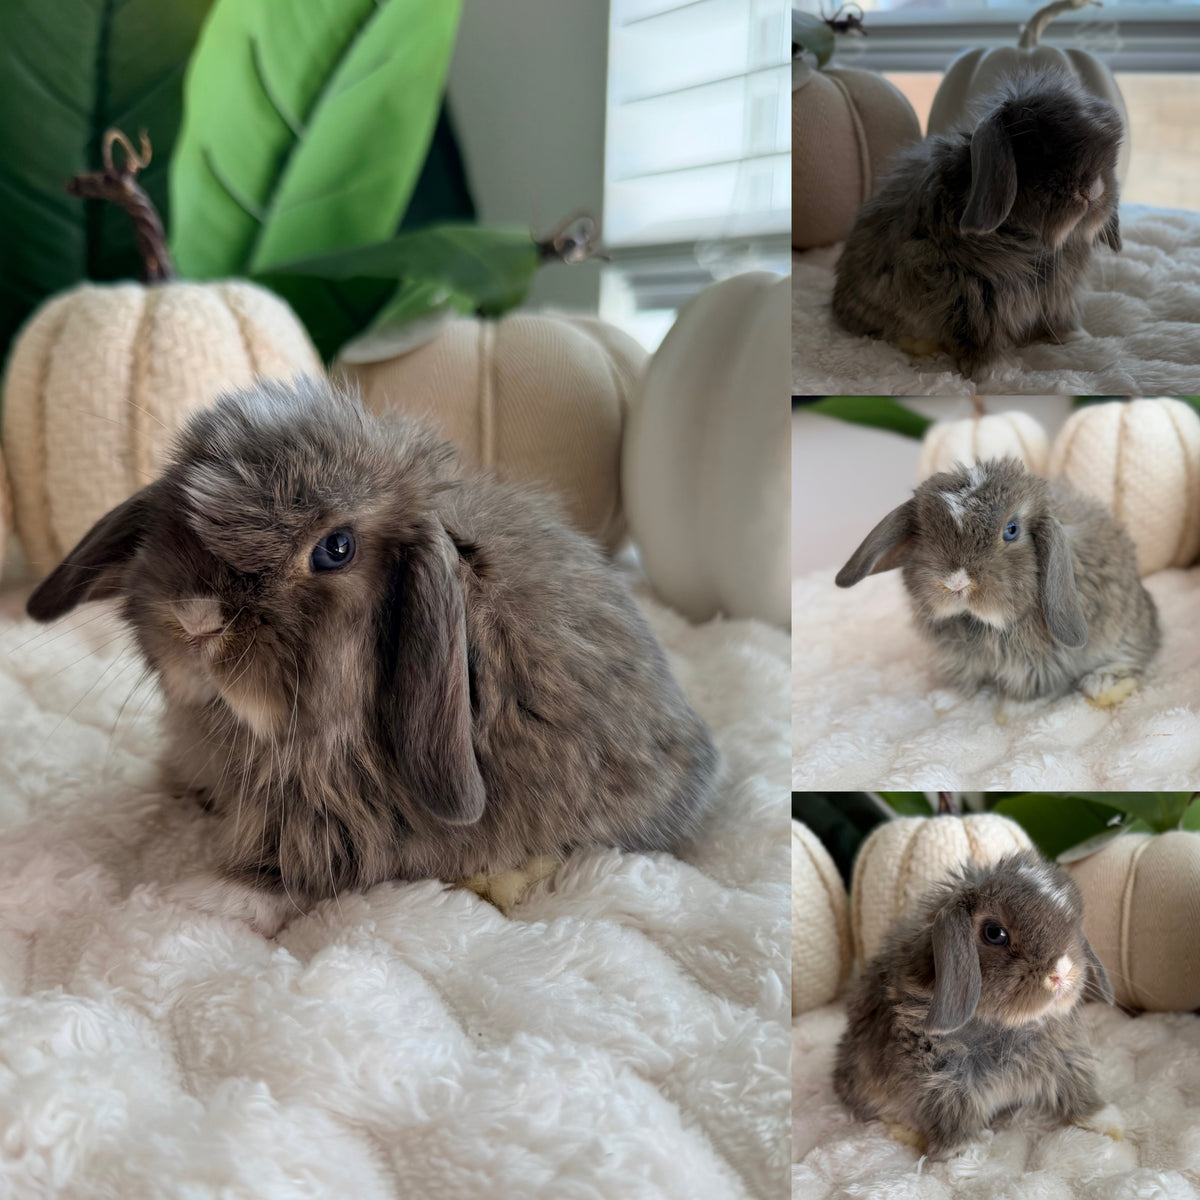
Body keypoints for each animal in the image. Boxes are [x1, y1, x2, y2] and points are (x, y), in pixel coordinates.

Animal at [26, 376, 720, 921]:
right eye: (174, 515)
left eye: (336, 549)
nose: (195, 621)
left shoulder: (345, 819)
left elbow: (295, 867)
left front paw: (197, 901)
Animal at [832, 70, 1123, 377]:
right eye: (1033, 145)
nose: (1092, 191)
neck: (1035, 243)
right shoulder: (973, 300)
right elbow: (981, 340)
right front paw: (994, 372)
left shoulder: (1060, 297)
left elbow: (1062, 323)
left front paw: (1080, 341)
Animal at [833, 850, 1120, 1157]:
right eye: (994, 933)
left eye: (1075, 926)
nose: (1061, 973)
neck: (1007, 1026)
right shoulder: (945, 1084)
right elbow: (955, 1118)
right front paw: (966, 1152)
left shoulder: (1065, 1059)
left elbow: (1077, 1088)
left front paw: (1107, 1122)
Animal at [835, 457, 1160, 706]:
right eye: (925, 534)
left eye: (1011, 530)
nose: (956, 583)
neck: (982, 623)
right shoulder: (960, 662)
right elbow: (966, 684)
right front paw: (944, 699)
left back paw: (1100, 683)